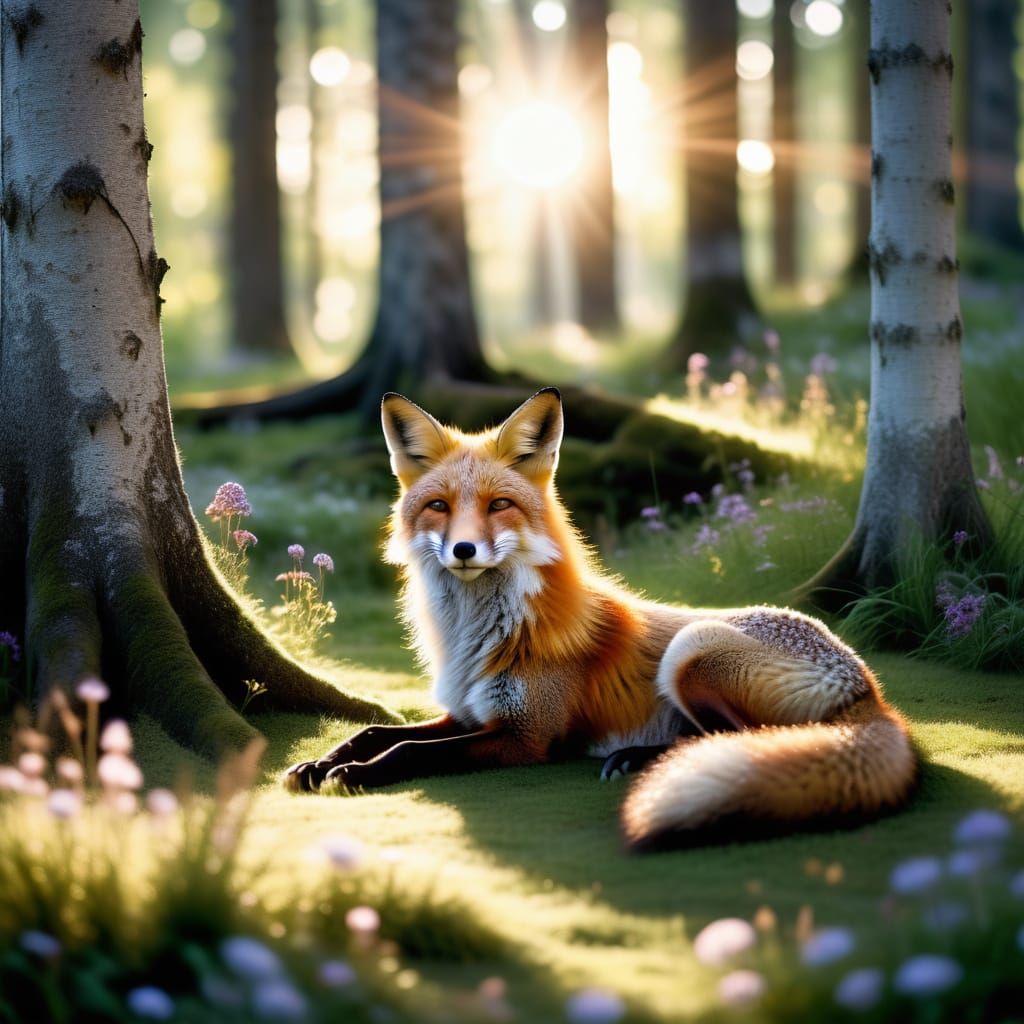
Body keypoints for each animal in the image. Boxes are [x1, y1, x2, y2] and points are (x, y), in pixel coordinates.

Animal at [284, 388, 917, 849]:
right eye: (439, 506)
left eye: (498, 505)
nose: (463, 550)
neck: (473, 638)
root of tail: (872, 687)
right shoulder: (466, 712)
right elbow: (374, 732)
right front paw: (320, 761)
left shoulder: (525, 736)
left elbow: (409, 751)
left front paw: (354, 774)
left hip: (691, 651)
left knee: (749, 737)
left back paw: (635, 758)